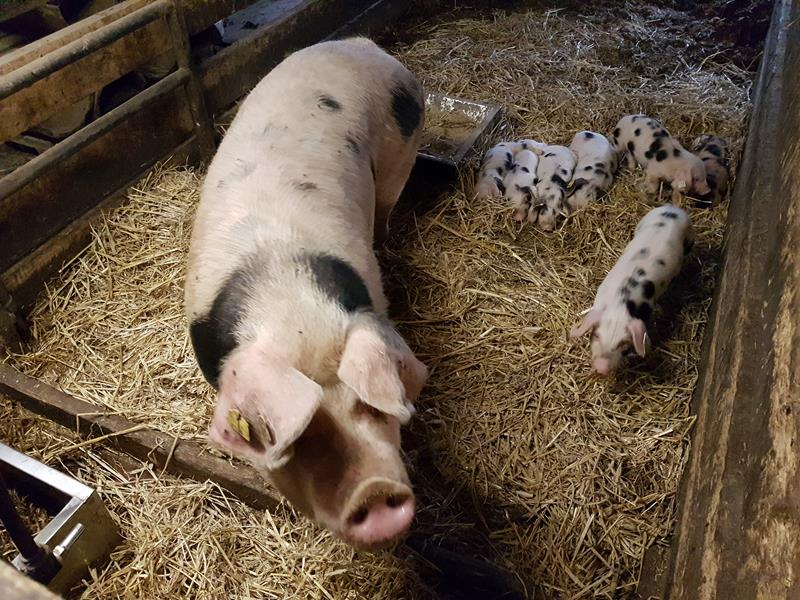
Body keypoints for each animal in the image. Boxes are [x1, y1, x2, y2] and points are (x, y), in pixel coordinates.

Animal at [184, 38, 428, 551]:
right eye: (294, 435)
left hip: (401, 157)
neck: (290, 306)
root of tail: (361, 44)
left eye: (369, 405)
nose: (374, 492)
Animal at [570, 205, 694, 375]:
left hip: (689, 235)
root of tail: (672, 209)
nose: (601, 367)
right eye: (596, 336)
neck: (619, 304)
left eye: (623, 345)